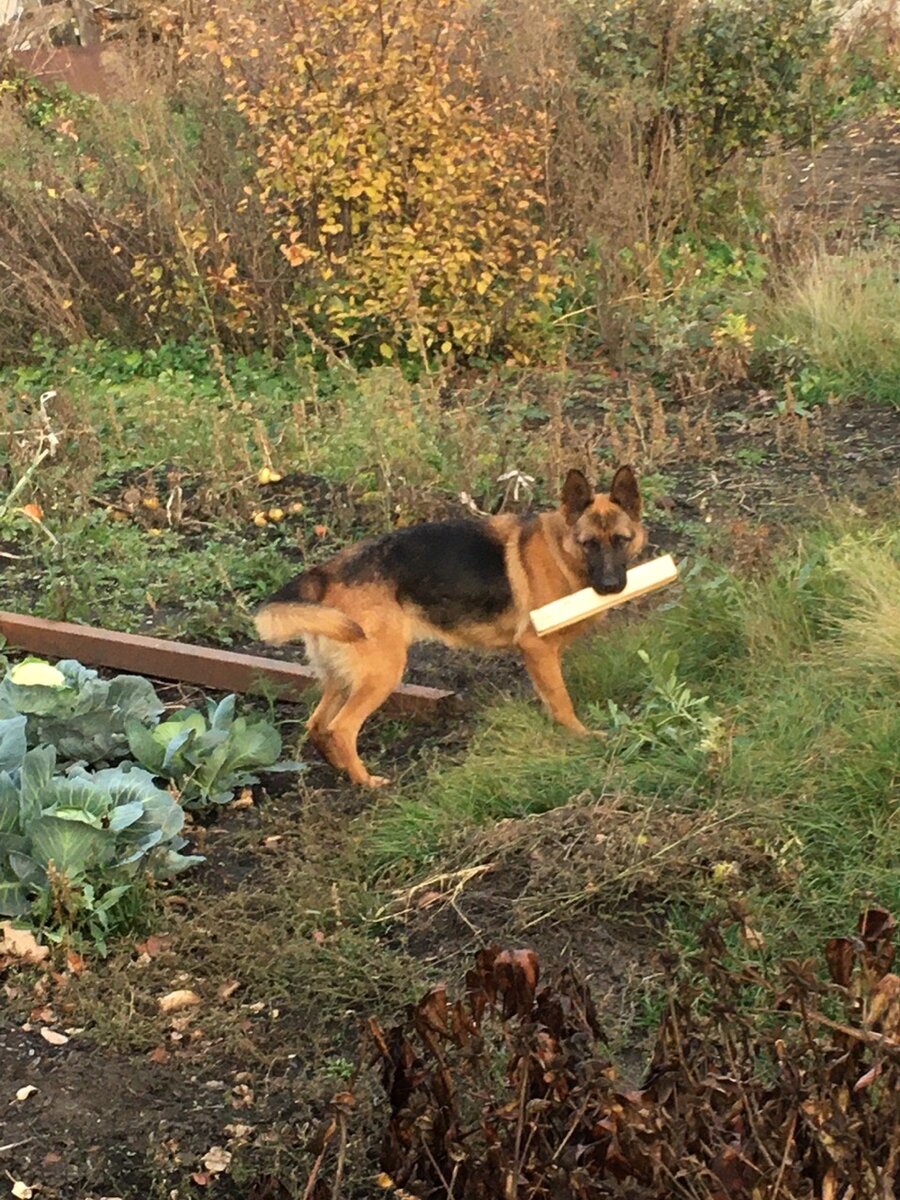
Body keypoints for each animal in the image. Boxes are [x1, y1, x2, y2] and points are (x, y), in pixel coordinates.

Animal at [255, 465, 648, 787]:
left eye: (621, 540)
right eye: (589, 544)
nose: (611, 585)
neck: (560, 551)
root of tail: (324, 572)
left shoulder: (545, 657)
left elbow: (552, 698)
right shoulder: (537, 649)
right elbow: (563, 701)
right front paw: (580, 737)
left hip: (344, 677)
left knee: (317, 725)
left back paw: (342, 771)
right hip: (382, 674)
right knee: (341, 728)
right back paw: (366, 782)